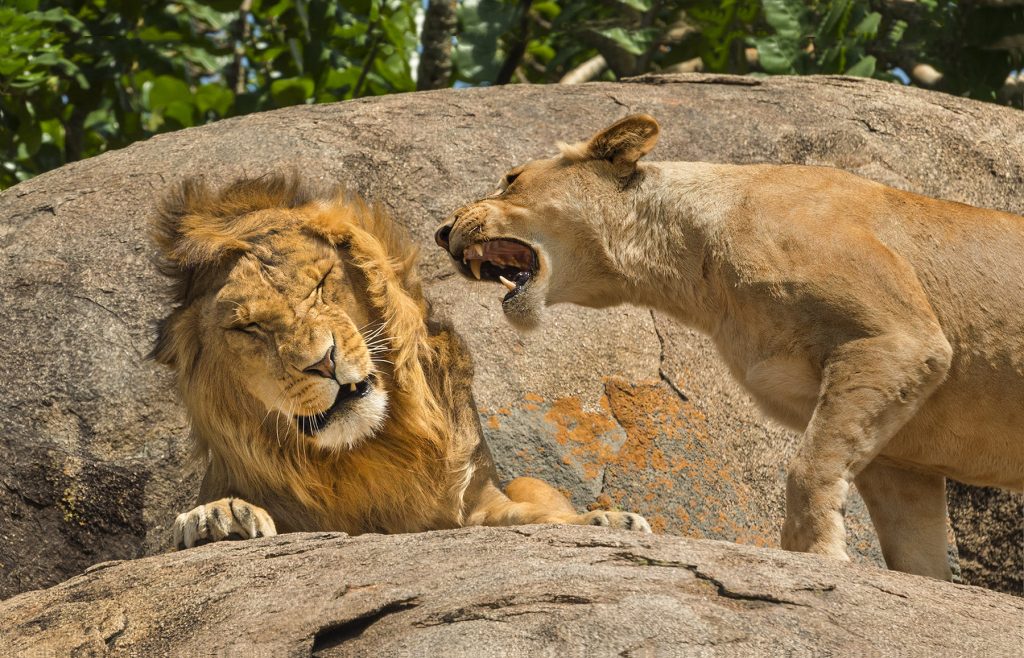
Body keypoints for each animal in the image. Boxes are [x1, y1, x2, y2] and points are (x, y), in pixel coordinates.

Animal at [151, 172, 647, 548]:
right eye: (248, 327)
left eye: (320, 283)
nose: (323, 361)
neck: (368, 451)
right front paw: (217, 517)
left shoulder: (475, 502)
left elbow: (529, 516)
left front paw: (603, 520)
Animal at [434, 115, 1024, 581]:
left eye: (511, 179)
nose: (441, 232)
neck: (693, 266)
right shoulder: (901, 452)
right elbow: (915, 550)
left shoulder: (898, 339)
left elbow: (809, 465)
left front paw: (814, 556)